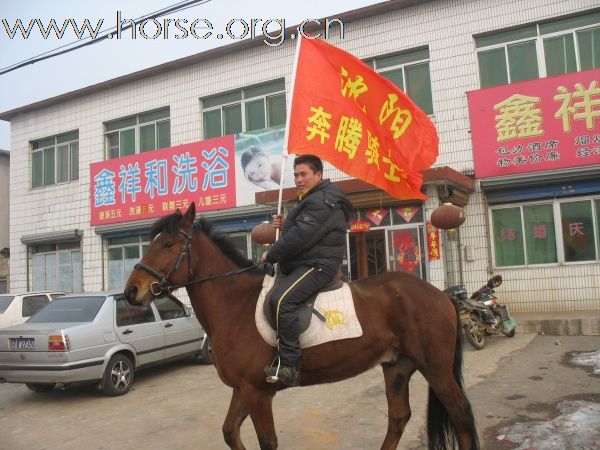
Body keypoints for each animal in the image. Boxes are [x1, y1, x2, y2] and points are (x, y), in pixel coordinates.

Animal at [125, 204, 478, 450]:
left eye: (168, 244)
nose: (131, 292)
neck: (235, 305)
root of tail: (441, 295)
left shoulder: (258, 392)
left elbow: (267, 442)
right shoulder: (243, 389)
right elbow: (229, 432)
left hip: (435, 367)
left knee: (460, 411)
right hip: (397, 366)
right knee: (399, 417)